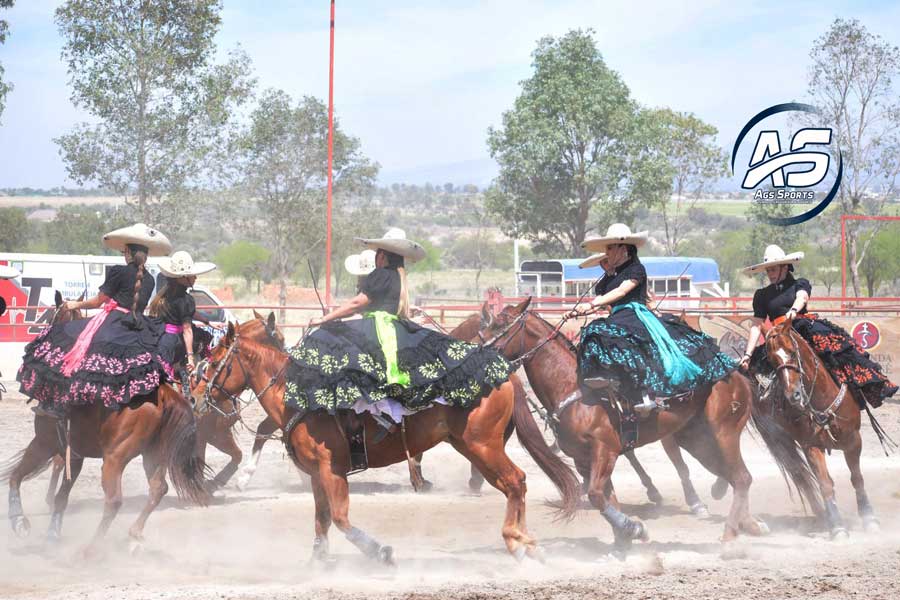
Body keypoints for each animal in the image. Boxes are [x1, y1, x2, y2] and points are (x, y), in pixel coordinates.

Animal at [192, 324, 580, 564]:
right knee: (516, 483)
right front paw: (318, 562)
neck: (298, 393)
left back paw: (517, 541)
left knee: (515, 482)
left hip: (483, 446)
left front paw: (381, 553)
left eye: (214, 363)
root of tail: (504, 372)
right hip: (475, 446)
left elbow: (341, 519)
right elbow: (322, 520)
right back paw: (527, 544)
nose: (194, 398)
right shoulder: (317, 474)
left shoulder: (332, 470)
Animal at [478, 298, 768, 552]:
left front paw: (633, 529)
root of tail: (735, 371)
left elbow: (596, 495)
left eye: (501, 324)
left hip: (723, 432)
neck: (574, 387)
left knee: (741, 477)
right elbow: (606, 498)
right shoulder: (583, 459)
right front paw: (625, 538)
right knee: (733, 477)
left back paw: (730, 534)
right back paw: (749, 524)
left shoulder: (604, 449)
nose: (477, 352)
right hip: (696, 440)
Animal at [748, 314, 884, 540]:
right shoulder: (811, 446)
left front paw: (869, 518)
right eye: (772, 360)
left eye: (792, 352)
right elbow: (825, 484)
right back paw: (823, 517)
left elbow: (857, 478)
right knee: (800, 476)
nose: (793, 395)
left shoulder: (854, 440)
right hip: (782, 441)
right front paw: (837, 527)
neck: (822, 398)